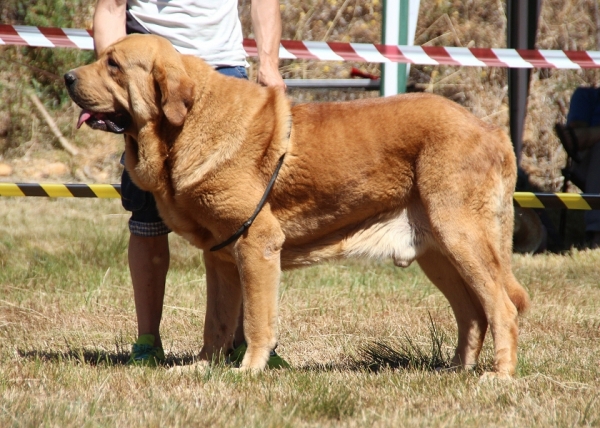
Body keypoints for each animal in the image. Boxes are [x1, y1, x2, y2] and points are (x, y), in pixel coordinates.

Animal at [63, 36, 528, 378]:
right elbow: (216, 321)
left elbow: (256, 320)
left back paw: (499, 375)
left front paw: (248, 370)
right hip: (437, 252)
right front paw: (201, 368)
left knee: (501, 307)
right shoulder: (221, 258)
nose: (67, 76)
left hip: (461, 236)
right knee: (472, 313)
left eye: (114, 64)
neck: (183, 127)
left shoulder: (257, 243)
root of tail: (491, 130)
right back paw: (455, 371)